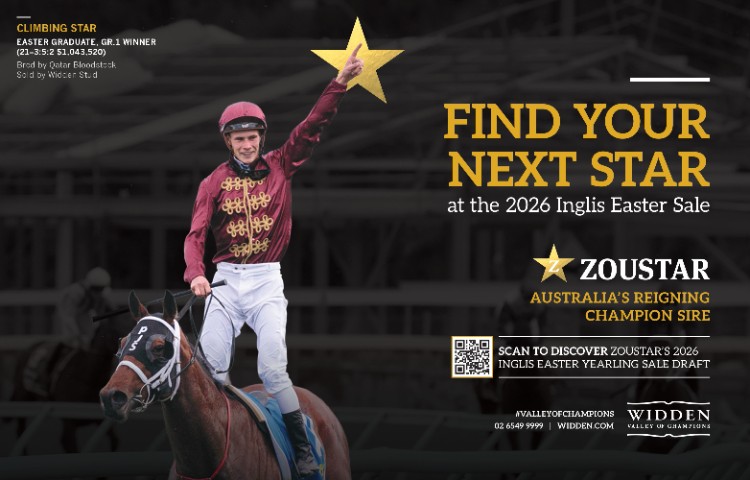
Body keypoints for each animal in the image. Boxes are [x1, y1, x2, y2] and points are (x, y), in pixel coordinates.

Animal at [9, 313, 132, 453]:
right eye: (115, 329)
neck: (88, 378)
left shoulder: (100, 421)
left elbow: (114, 440)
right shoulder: (69, 423)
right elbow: (69, 444)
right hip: (21, 396)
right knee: (20, 430)